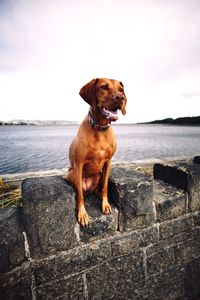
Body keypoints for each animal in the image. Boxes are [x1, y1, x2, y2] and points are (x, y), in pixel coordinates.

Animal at [66, 78, 127, 226]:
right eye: (103, 87)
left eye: (121, 90)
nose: (120, 97)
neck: (100, 128)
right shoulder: (79, 164)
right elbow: (80, 195)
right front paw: (82, 214)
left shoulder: (108, 162)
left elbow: (105, 186)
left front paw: (105, 204)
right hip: (71, 173)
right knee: (79, 191)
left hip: (98, 174)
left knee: (96, 189)